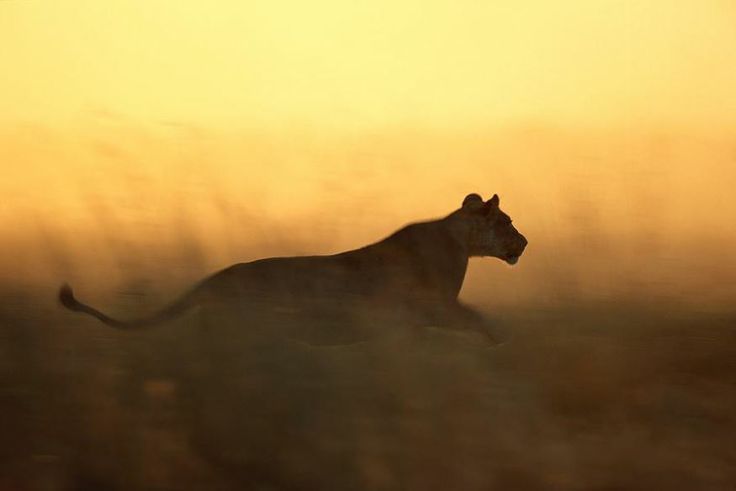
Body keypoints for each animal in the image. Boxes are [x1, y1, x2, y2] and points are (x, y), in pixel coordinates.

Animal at [59, 193, 527, 343]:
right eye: (507, 222)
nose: (525, 243)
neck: (460, 239)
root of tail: (214, 278)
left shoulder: (416, 318)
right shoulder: (433, 307)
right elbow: (479, 319)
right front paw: (501, 343)